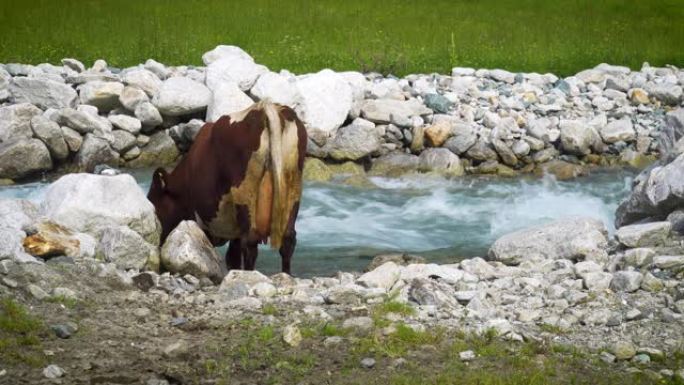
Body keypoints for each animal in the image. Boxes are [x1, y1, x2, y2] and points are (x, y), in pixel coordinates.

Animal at [150, 100, 310, 274]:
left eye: (154, 204)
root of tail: (264, 108)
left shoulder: (203, 223)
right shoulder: (234, 232)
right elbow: (233, 257)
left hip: (244, 193)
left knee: (251, 243)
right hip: (293, 188)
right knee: (288, 240)